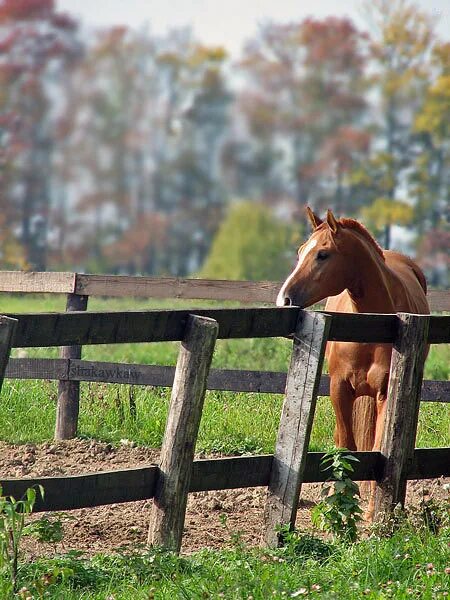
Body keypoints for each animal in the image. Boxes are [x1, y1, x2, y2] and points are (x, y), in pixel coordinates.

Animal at [278, 209, 428, 462]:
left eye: (322, 254)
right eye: (300, 252)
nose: (284, 300)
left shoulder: (385, 393)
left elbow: (377, 448)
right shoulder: (339, 389)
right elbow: (345, 447)